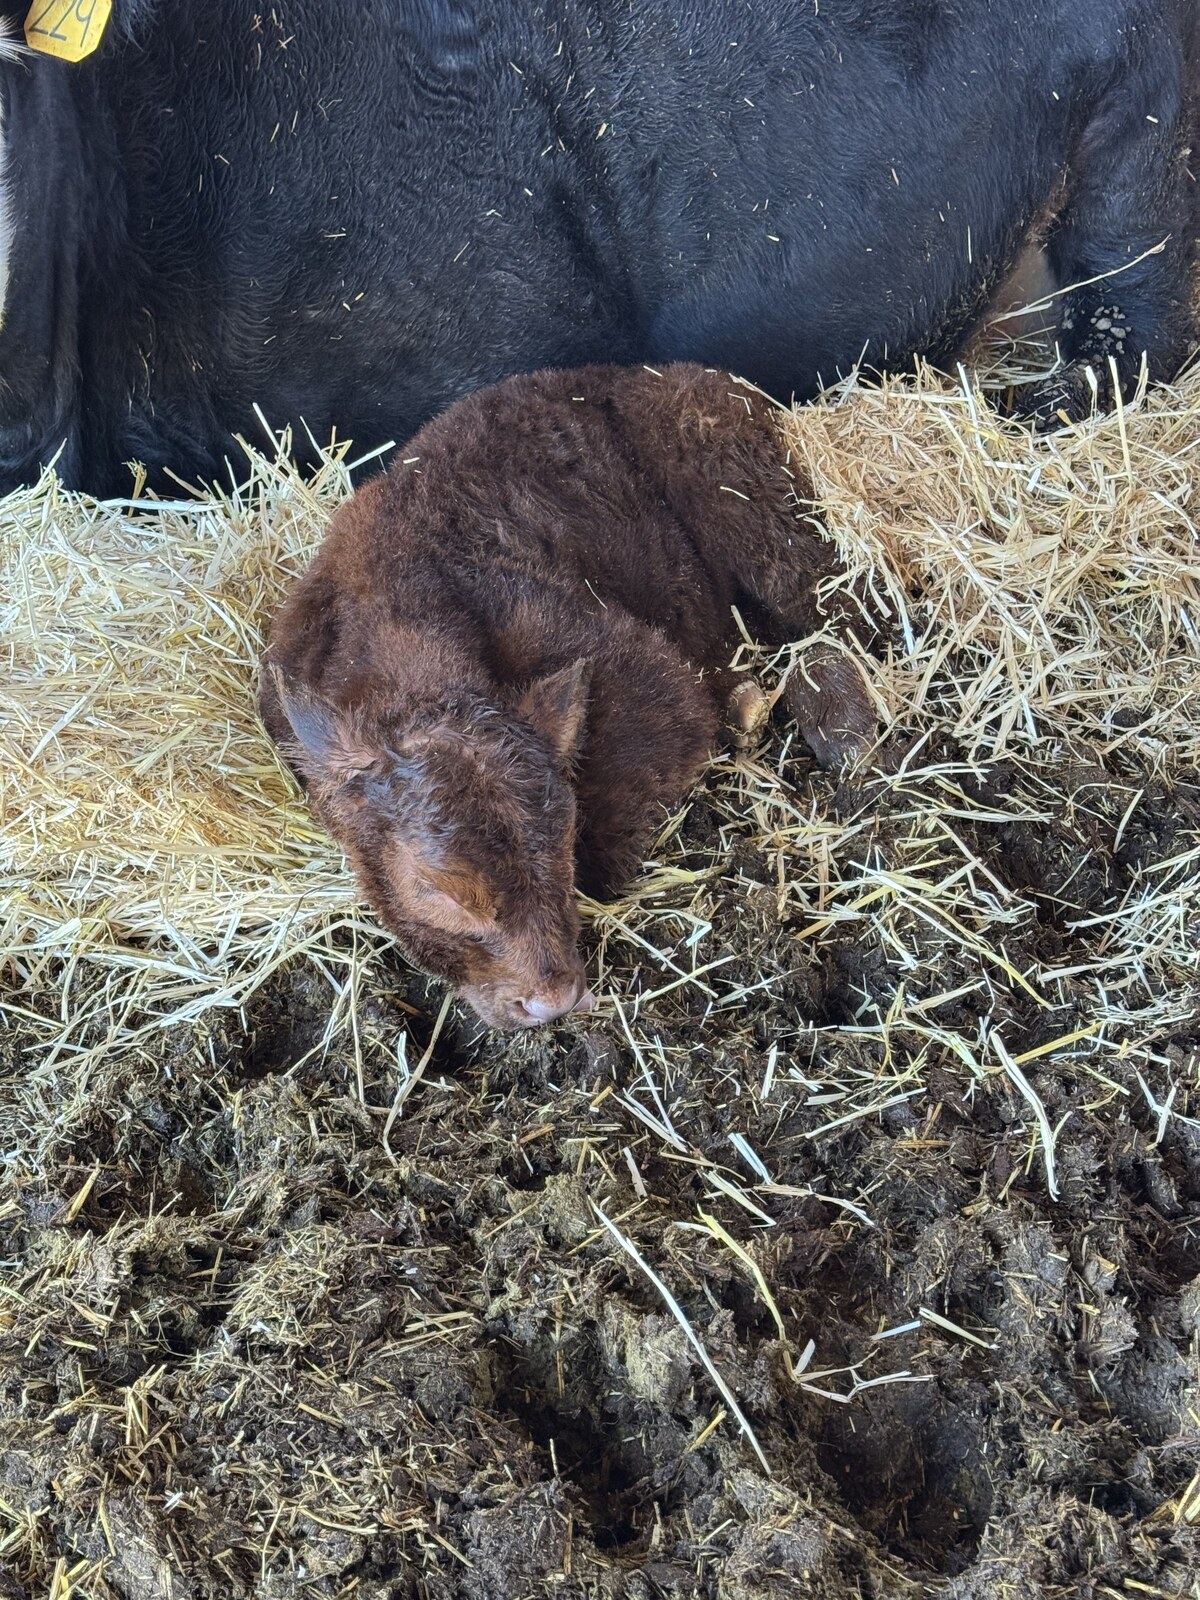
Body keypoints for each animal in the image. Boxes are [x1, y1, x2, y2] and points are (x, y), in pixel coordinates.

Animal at [260, 362, 877, 1029]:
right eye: (435, 889)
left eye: (562, 844)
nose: (552, 999)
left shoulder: (646, 681)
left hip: (737, 483)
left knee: (823, 596)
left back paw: (842, 725)